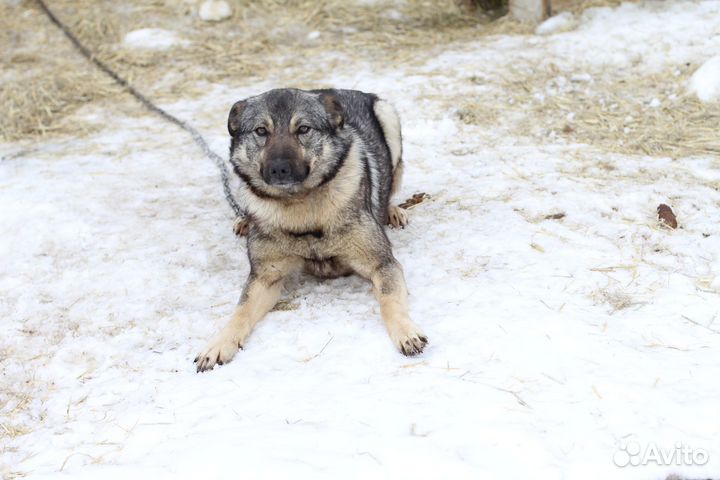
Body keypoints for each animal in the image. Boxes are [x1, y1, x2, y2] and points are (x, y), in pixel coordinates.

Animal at [194, 88, 424, 374]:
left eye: (303, 129)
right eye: (261, 131)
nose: (279, 169)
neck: (299, 206)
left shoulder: (383, 264)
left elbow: (390, 301)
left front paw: (406, 331)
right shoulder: (264, 278)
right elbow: (240, 312)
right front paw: (218, 344)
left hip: (388, 117)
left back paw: (392, 210)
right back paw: (244, 219)